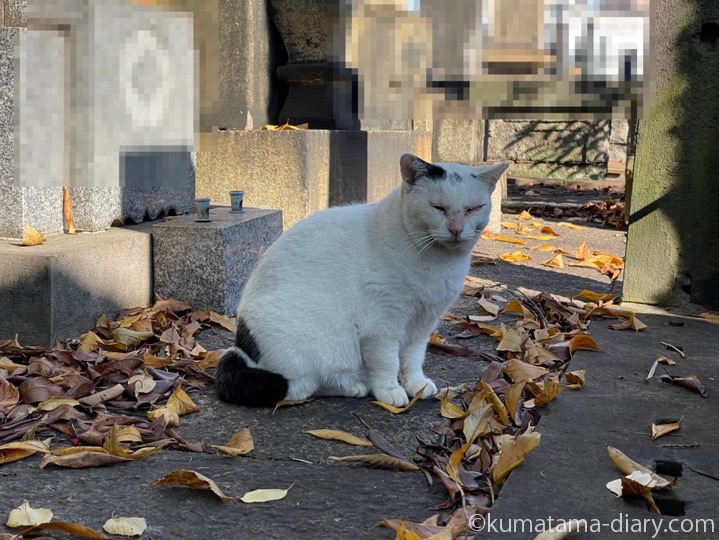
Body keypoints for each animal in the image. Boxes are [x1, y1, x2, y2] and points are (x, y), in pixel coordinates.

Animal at [214, 154, 506, 408]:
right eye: (438, 207)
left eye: (473, 209)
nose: (456, 229)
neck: (438, 265)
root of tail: (242, 345)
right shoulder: (381, 327)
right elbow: (387, 361)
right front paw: (390, 390)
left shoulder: (423, 323)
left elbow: (413, 357)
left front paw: (416, 384)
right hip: (312, 344)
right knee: (300, 388)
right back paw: (353, 386)